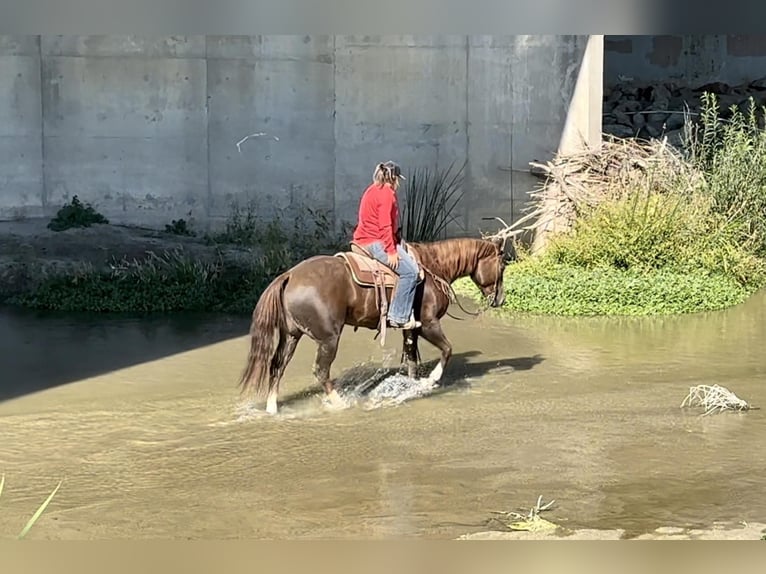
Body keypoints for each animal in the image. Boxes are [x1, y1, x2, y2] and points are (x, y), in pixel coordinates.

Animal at [240, 236, 516, 416]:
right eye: (502, 264)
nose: (500, 299)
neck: (432, 268)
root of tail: (289, 275)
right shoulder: (428, 324)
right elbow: (447, 350)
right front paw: (430, 381)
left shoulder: (410, 329)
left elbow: (411, 361)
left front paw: (411, 385)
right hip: (328, 338)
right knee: (321, 371)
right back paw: (340, 403)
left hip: (291, 336)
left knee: (277, 366)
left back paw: (272, 408)